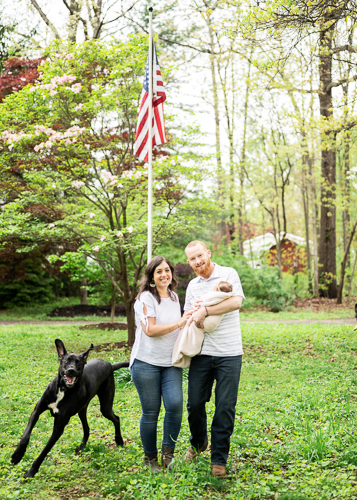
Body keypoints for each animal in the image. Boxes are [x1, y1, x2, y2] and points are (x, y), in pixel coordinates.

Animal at [11, 338, 129, 478]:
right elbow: (25, 436)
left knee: (116, 418)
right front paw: (17, 456)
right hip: (81, 410)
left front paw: (31, 471)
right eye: (66, 361)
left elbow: (45, 450)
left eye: (79, 363)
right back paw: (81, 449)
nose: (71, 370)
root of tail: (110, 364)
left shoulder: (59, 427)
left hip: (105, 407)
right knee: (87, 429)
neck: (63, 389)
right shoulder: (37, 411)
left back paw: (119, 440)